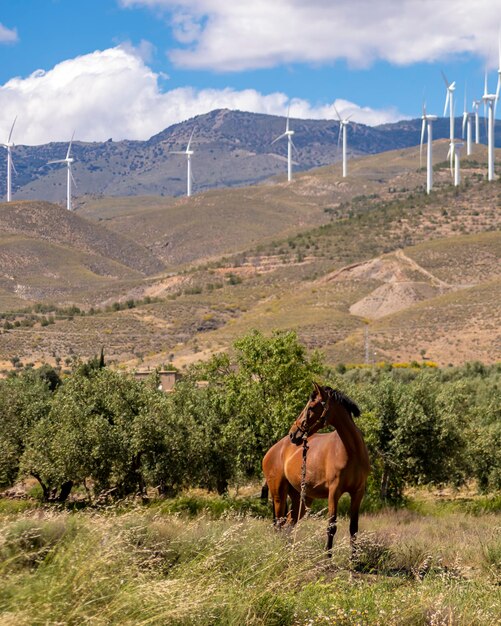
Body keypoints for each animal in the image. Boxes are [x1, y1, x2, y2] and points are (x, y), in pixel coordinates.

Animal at [262, 380, 368, 552]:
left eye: (311, 407)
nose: (293, 434)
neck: (352, 451)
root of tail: (272, 450)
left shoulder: (358, 493)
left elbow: (354, 530)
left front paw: (355, 558)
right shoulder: (334, 492)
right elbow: (331, 527)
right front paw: (327, 557)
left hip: (301, 498)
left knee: (289, 525)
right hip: (278, 494)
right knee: (279, 525)